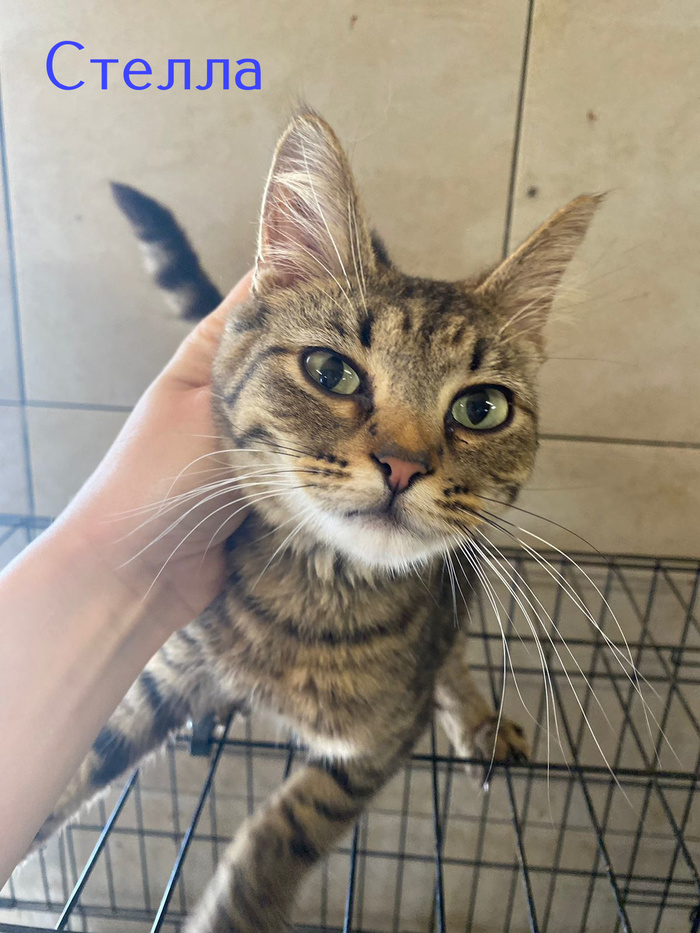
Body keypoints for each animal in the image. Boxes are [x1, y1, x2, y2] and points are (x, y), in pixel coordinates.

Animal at [30, 110, 600, 932]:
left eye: (482, 408)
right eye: (330, 372)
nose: (403, 464)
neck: (311, 606)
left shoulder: (375, 746)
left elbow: (285, 828)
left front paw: (239, 903)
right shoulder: (171, 665)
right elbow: (88, 752)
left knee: (452, 656)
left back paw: (475, 716)